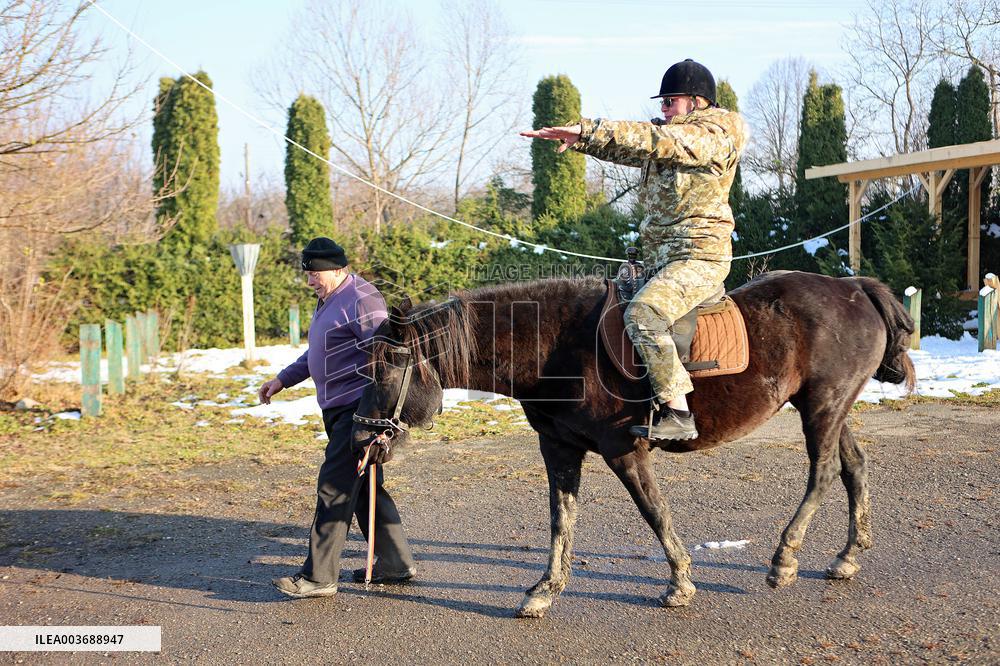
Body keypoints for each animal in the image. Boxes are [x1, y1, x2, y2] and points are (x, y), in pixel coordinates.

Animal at [351, 270, 915, 618]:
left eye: (382, 370)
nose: (360, 435)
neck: (558, 346)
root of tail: (854, 286)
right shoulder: (559, 449)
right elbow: (561, 519)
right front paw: (545, 590)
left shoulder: (624, 450)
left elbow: (653, 511)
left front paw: (680, 583)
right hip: (827, 408)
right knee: (854, 468)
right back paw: (847, 556)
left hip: (822, 407)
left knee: (822, 473)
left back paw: (785, 557)